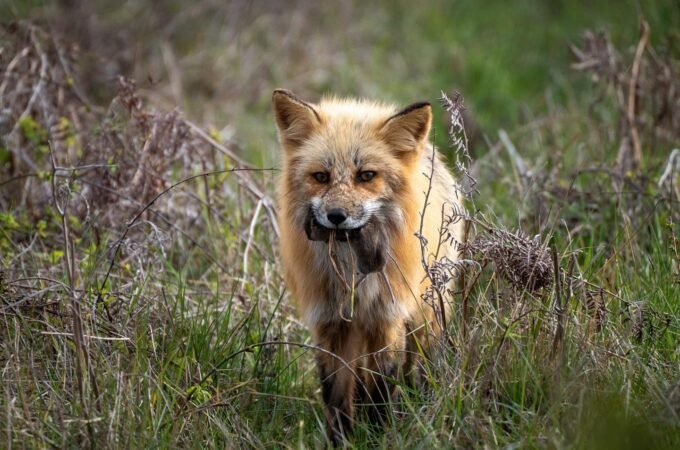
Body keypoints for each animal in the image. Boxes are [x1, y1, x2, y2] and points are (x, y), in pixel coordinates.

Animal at [272, 89, 465, 444]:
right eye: (321, 177)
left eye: (366, 176)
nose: (336, 216)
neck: (351, 271)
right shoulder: (330, 322)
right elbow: (336, 396)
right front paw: (340, 441)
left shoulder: (386, 319)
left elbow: (380, 391)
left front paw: (376, 436)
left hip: (427, 315)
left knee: (419, 366)